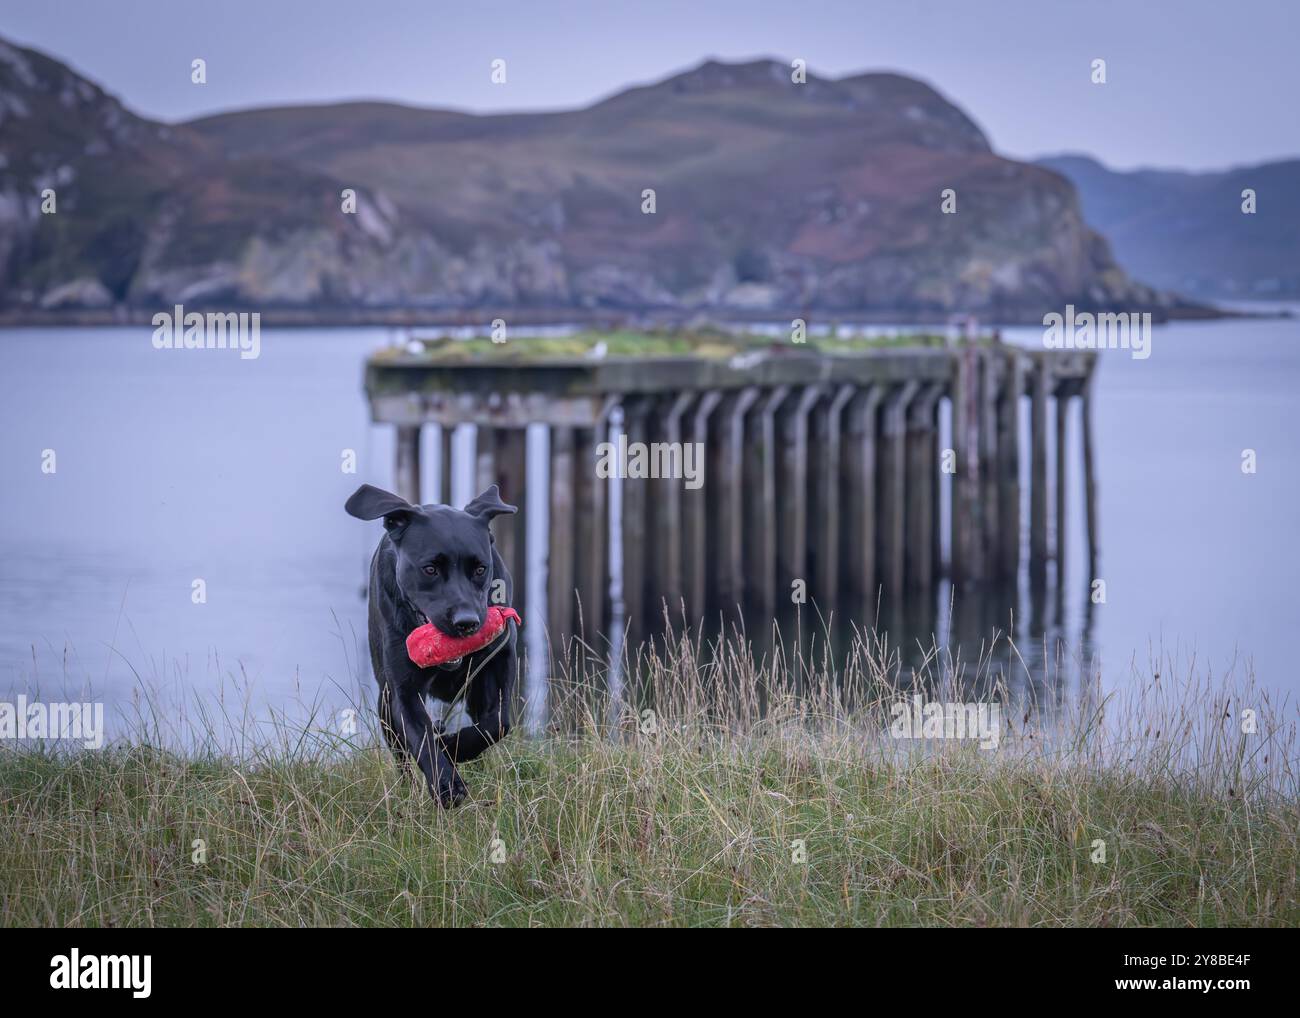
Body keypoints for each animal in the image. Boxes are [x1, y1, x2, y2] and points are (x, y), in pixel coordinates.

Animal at [345, 481, 517, 806]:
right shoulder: (403, 690)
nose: (467, 622)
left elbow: (497, 722)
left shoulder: (499, 663)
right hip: (384, 702)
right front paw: (448, 786)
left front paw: (452, 746)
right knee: (401, 756)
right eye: (430, 569)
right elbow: (421, 737)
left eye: (480, 569)